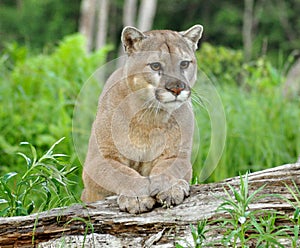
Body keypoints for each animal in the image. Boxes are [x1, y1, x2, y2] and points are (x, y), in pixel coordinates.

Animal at [81, 25, 204, 215]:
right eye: (155, 65)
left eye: (184, 63)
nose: (176, 89)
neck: (149, 115)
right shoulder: (98, 160)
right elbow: (122, 174)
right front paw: (137, 197)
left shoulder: (178, 155)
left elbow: (168, 169)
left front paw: (170, 188)